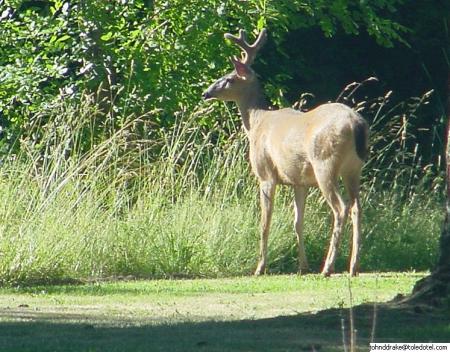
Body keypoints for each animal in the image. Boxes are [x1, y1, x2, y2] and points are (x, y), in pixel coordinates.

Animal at [202, 28, 368, 276]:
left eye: (229, 78)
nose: (206, 93)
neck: (256, 123)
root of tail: (356, 124)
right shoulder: (299, 181)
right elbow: (298, 222)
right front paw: (302, 266)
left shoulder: (266, 175)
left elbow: (264, 222)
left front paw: (260, 267)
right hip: (354, 168)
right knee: (357, 207)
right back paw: (353, 266)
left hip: (325, 164)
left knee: (341, 208)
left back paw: (328, 267)